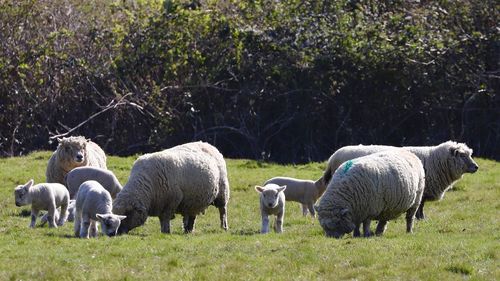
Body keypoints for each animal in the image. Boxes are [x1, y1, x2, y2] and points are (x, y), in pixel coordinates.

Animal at [320, 140, 480, 219]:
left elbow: (421, 205)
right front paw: (421, 217)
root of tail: (333, 157)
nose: (476, 167)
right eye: (463, 155)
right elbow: (421, 205)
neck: (435, 160)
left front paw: (421, 217)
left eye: (469, 154)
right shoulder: (422, 188)